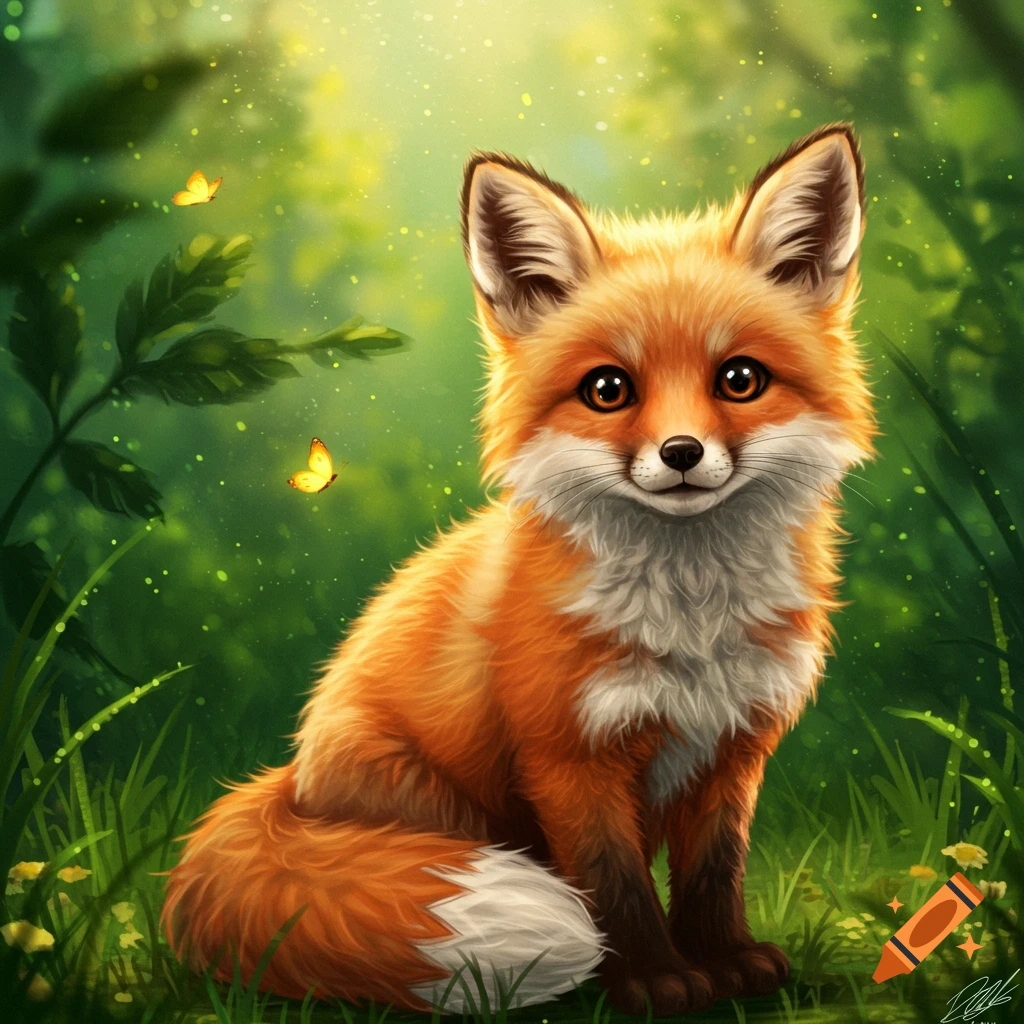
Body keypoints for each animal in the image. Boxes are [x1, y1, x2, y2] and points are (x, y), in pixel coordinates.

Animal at [163, 123, 875, 1016]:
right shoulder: (569, 755)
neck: (690, 618)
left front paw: (727, 961)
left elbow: (714, 874)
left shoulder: (732, 748)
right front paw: (654, 979)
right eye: (608, 389)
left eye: (739, 379)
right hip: (444, 808)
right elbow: (615, 884)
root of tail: (286, 780)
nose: (681, 454)